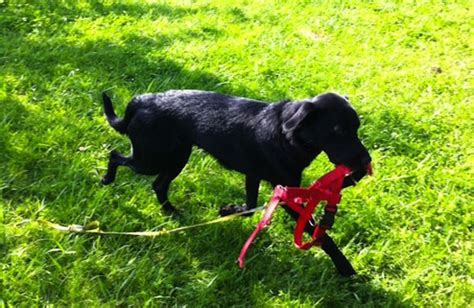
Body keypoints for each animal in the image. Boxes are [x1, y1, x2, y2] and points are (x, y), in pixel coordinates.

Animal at [102, 90, 372, 276]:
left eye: (357, 128)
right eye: (337, 130)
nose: (366, 161)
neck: (286, 135)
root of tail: (143, 99)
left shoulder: (255, 177)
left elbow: (249, 207)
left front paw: (228, 210)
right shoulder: (286, 195)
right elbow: (322, 236)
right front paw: (346, 268)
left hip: (176, 157)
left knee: (158, 184)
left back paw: (172, 212)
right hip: (151, 158)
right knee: (115, 155)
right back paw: (107, 179)